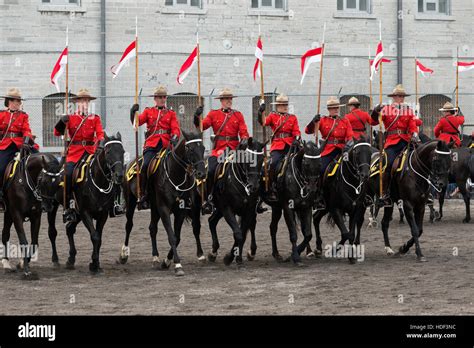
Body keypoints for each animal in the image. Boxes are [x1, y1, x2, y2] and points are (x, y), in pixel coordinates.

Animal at [207, 137, 266, 266]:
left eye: (261, 159)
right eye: (248, 159)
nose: (254, 186)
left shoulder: (249, 210)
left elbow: (242, 234)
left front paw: (236, 256)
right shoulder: (227, 209)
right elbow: (238, 234)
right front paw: (229, 258)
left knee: (212, 221)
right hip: (220, 208)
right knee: (211, 221)